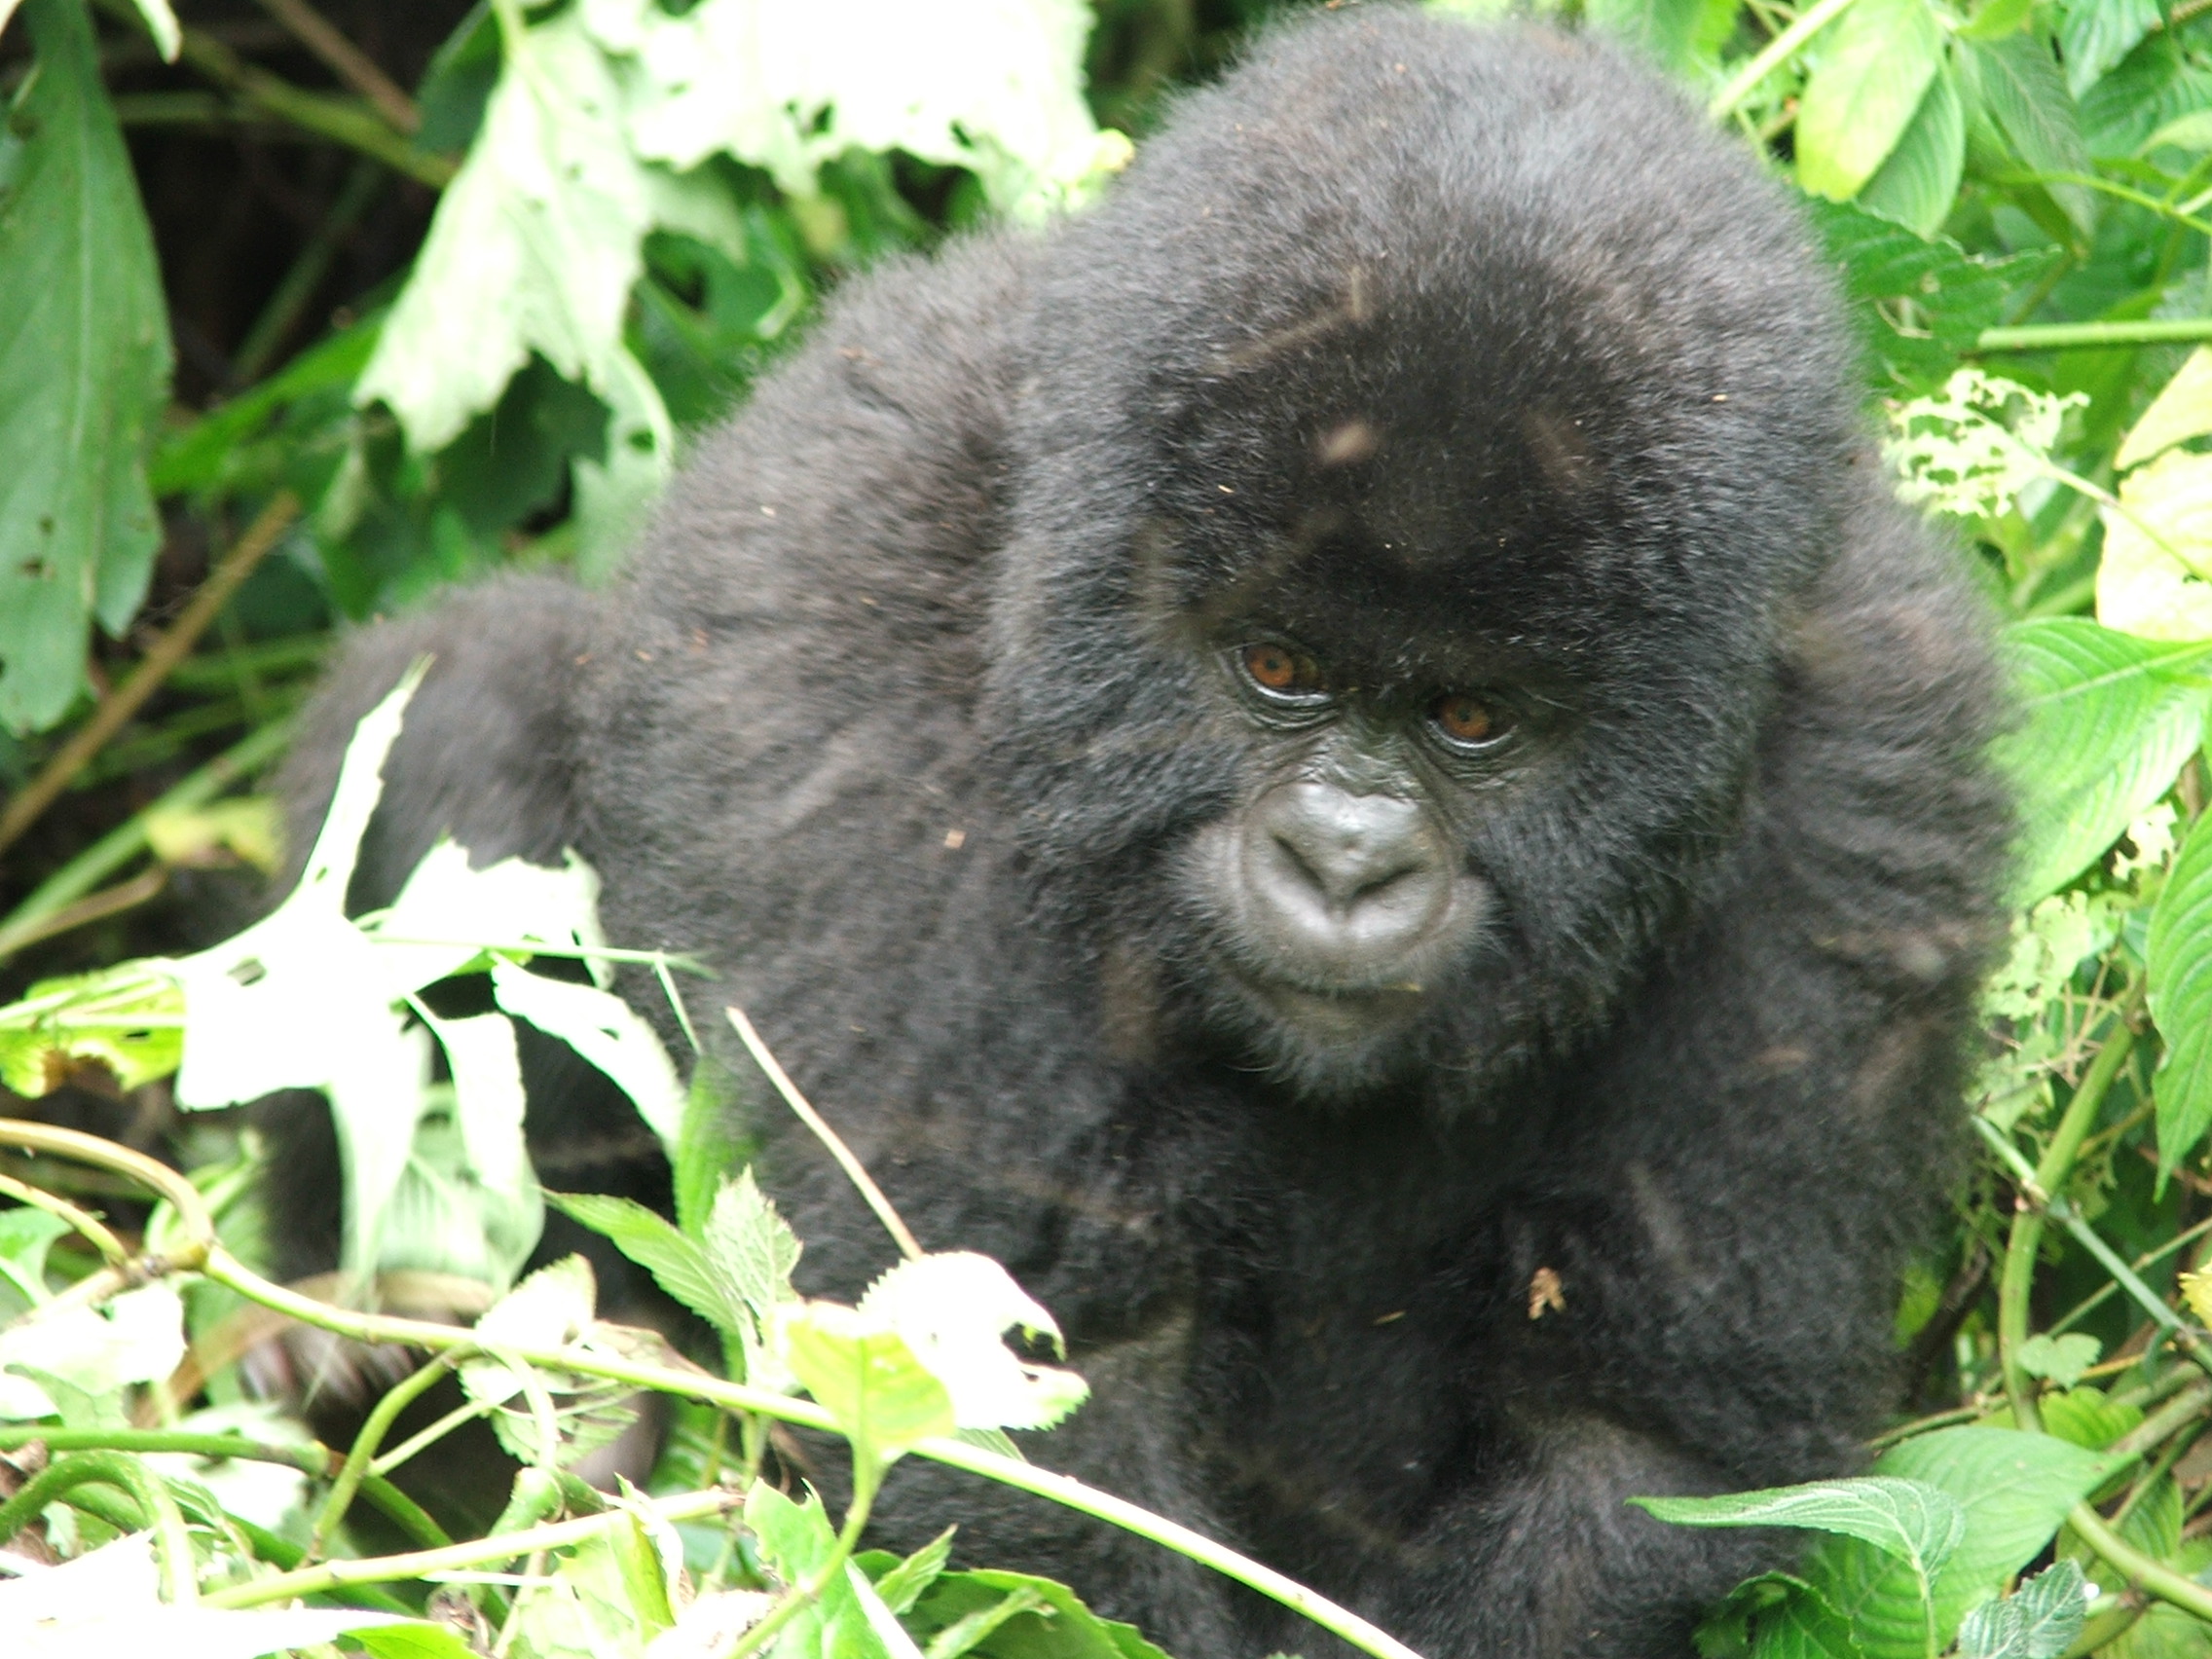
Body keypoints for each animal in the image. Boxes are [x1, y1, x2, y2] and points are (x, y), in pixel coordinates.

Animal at [267, 6, 2017, 1654]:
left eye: (1472, 719)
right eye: (1277, 669)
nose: (1344, 860)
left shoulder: (1865, 774)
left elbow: (1638, 1433)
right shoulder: (875, 630)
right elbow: (1011, 1389)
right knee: (472, 702)